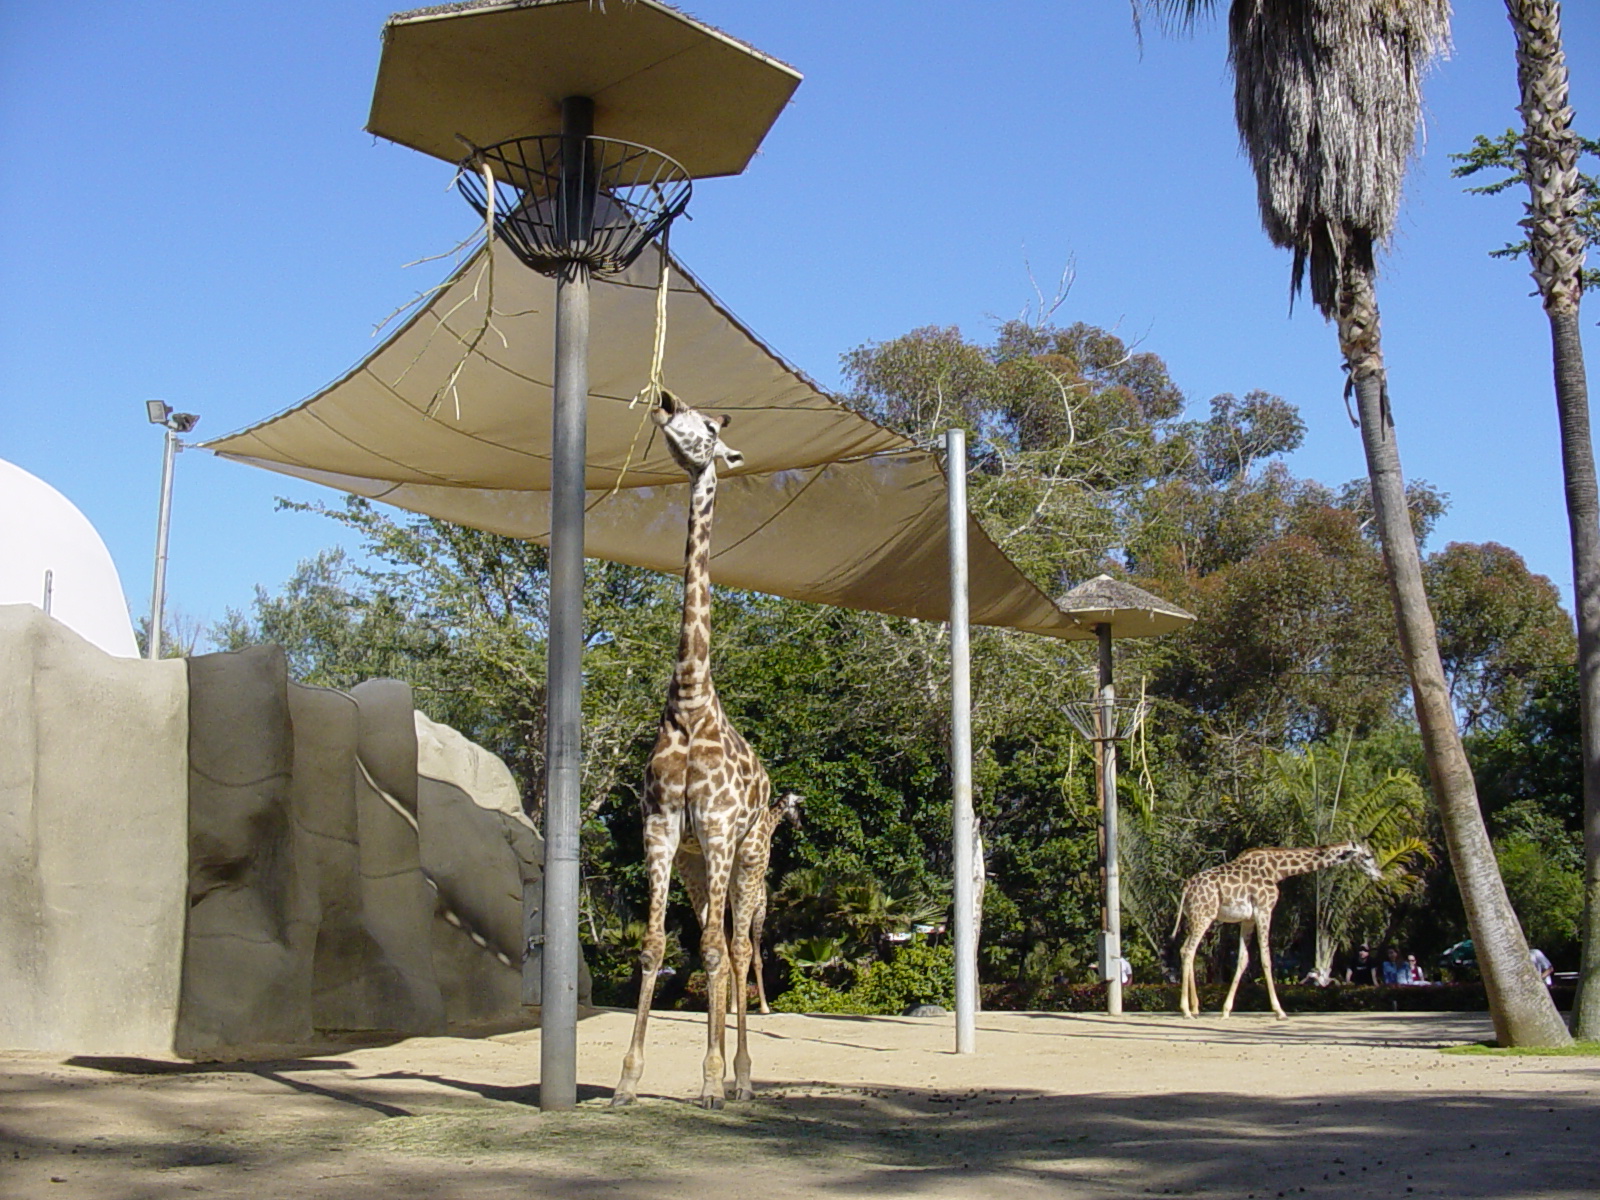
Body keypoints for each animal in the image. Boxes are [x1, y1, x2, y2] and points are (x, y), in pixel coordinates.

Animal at [1171, 841, 1382, 1020]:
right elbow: (1266, 958)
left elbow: (1243, 960)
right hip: (1203, 917)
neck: (1276, 870)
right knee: (1188, 950)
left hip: (1196, 918)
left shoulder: (1248, 919)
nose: (1380, 876)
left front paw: (1226, 1010)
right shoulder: (1264, 910)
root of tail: (1186, 887)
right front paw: (1279, 1011)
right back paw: (1186, 1011)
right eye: (1368, 856)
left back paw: (1195, 1008)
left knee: (1184, 950)